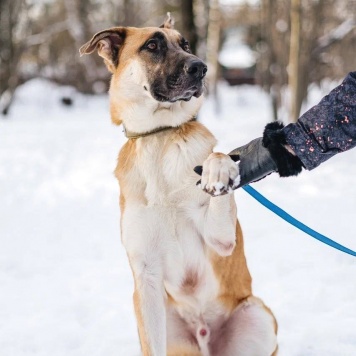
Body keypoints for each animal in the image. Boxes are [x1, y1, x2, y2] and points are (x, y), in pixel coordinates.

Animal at [80, 13, 278, 356]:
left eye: (185, 44)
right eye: (152, 45)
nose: (201, 67)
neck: (160, 136)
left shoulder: (220, 239)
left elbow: (217, 159)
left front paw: (219, 169)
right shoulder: (145, 278)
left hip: (258, 313)